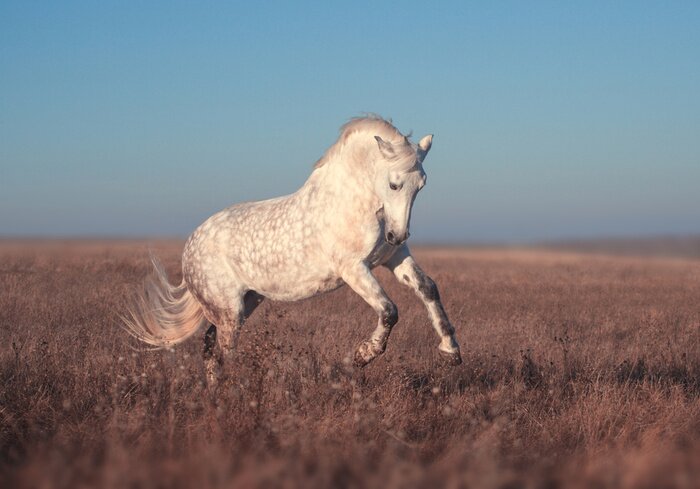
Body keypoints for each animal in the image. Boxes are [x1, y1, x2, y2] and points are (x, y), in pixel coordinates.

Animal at [124, 116, 462, 384]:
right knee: (222, 351)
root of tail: (190, 245)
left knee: (208, 345)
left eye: (421, 185)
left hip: (247, 300)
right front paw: (363, 355)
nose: (397, 234)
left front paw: (451, 350)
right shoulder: (353, 268)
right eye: (394, 184)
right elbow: (389, 310)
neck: (353, 202)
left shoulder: (392, 257)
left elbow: (428, 288)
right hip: (229, 311)